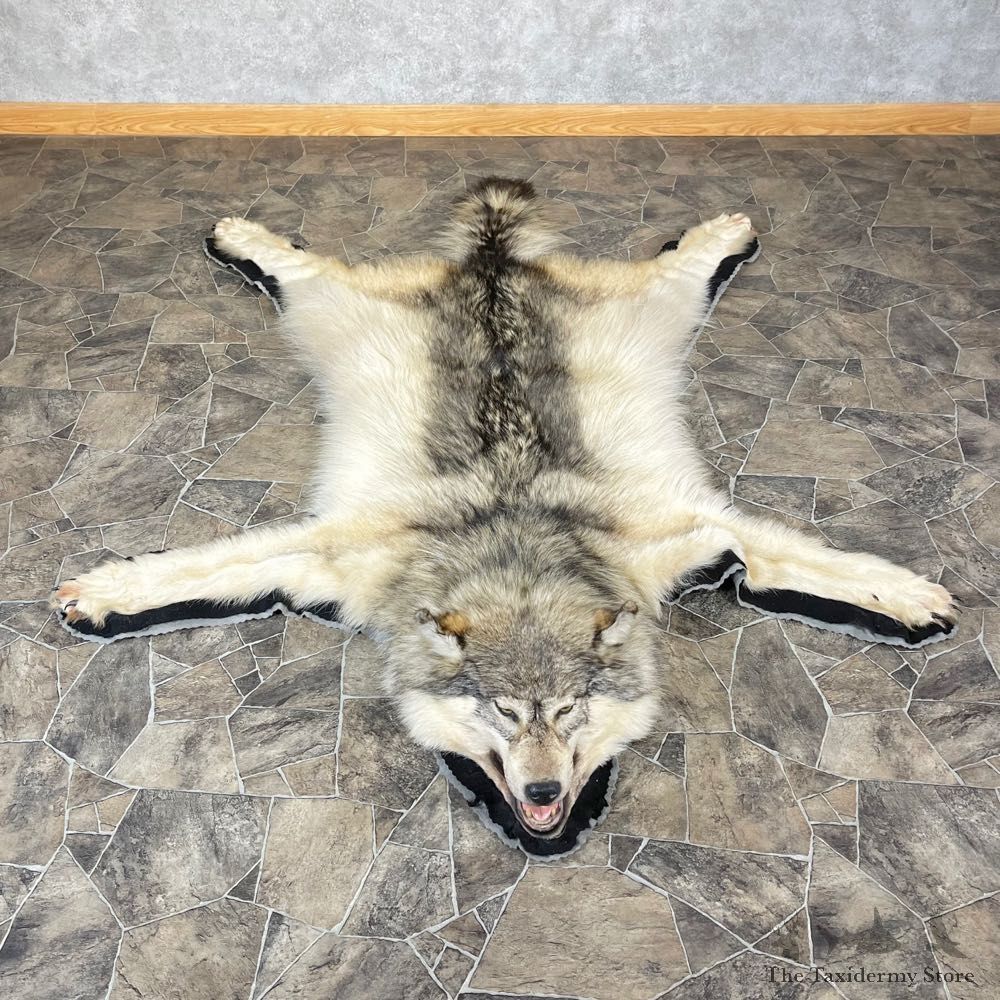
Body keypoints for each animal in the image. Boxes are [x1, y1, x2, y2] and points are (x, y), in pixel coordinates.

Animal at [51, 178, 955, 841]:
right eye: (506, 714)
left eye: (567, 713)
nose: (546, 791)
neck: (514, 541)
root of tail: (493, 265)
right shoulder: (329, 554)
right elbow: (197, 570)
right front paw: (105, 592)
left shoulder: (688, 532)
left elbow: (815, 564)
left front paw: (909, 596)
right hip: (333, 312)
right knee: (299, 264)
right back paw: (242, 236)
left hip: (650, 317)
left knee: (678, 266)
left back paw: (722, 234)